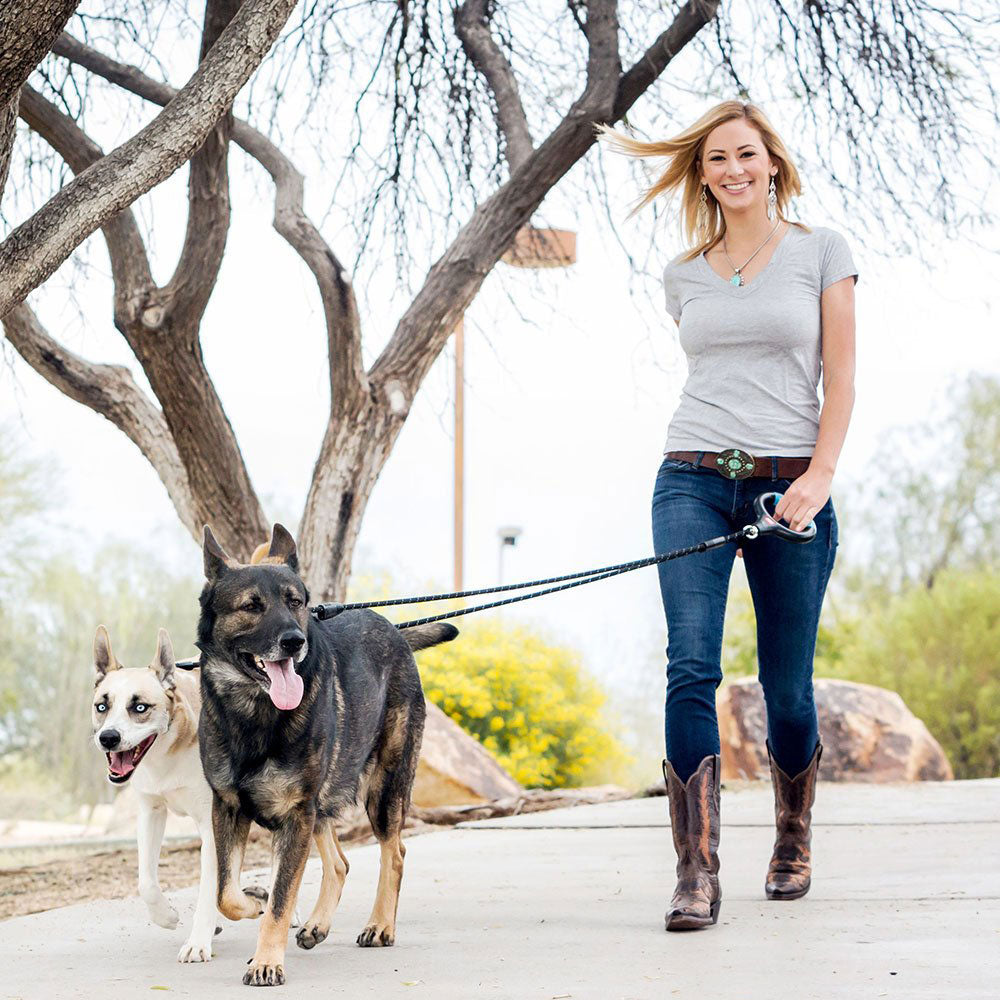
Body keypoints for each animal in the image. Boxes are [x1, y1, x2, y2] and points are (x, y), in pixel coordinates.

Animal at [91, 624, 229, 960]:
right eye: (102, 706)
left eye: (140, 707)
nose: (108, 738)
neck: (166, 752)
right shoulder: (151, 812)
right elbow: (146, 882)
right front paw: (166, 916)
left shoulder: (212, 823)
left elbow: (209, 885)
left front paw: (198, 941)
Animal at [194, 524, 458, 984]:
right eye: (251, 606)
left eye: (295, 602)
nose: (294, 641)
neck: (254, 714)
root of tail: (393, 628)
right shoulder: (228, 808)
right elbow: (226, 892)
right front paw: (254, 902)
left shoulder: (296, 814)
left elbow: (281, 901)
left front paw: (267, 961)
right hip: (322, 805)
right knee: (339, 863)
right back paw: (317, 926)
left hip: (382, 792)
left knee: (395, 853)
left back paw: (380, 925)